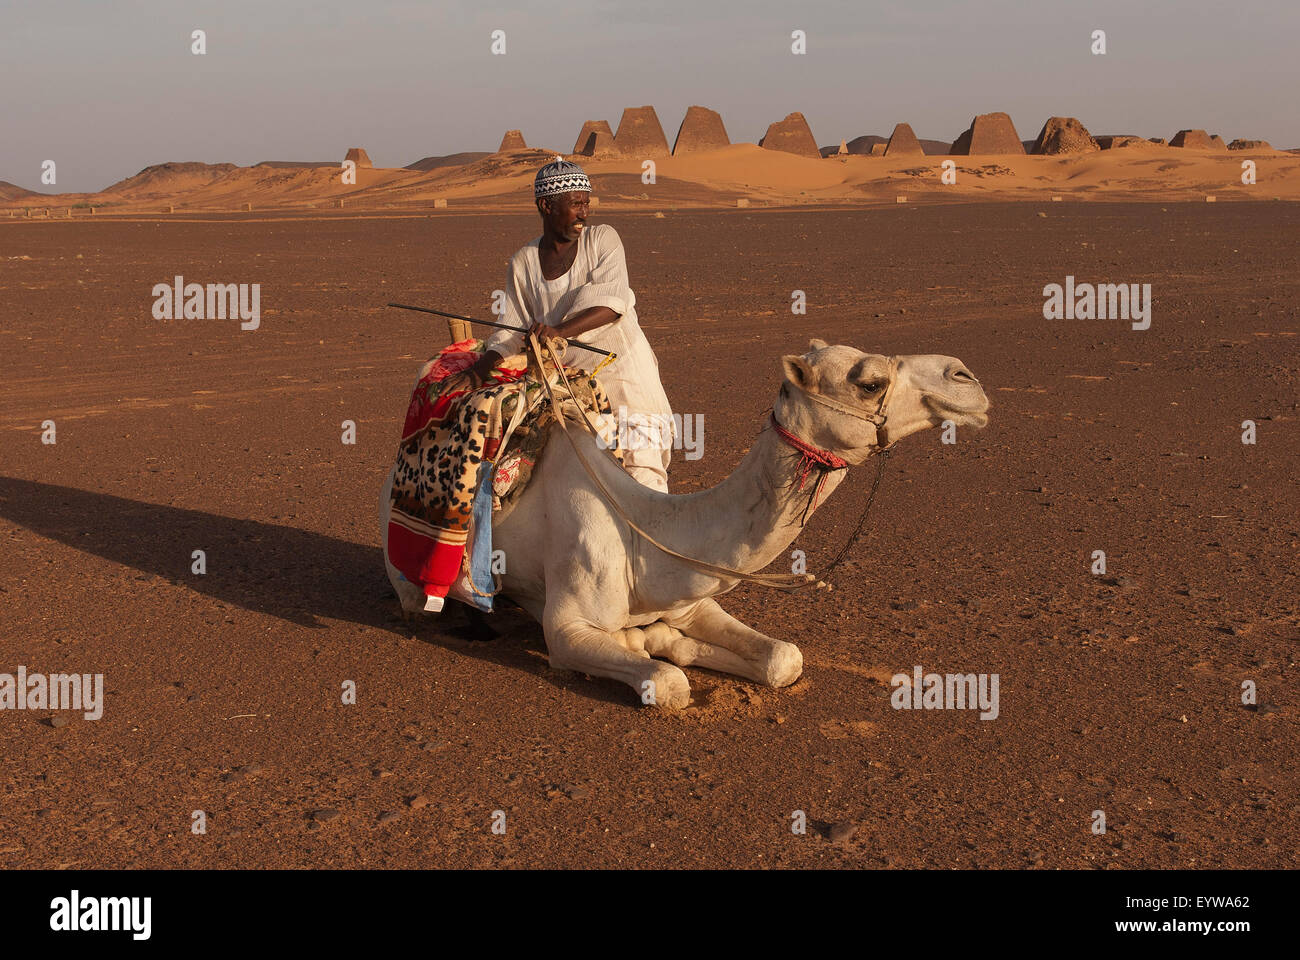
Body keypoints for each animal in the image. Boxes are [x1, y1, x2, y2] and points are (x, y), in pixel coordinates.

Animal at [379, 340, 987, 707]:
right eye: (870, 381)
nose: (967, 378)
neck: (646, 536)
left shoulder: (692, 598)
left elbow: (783, 659)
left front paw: (662, 638)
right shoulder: (567, 627)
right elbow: (667, 684)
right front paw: (648, 648)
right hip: (411, 571)